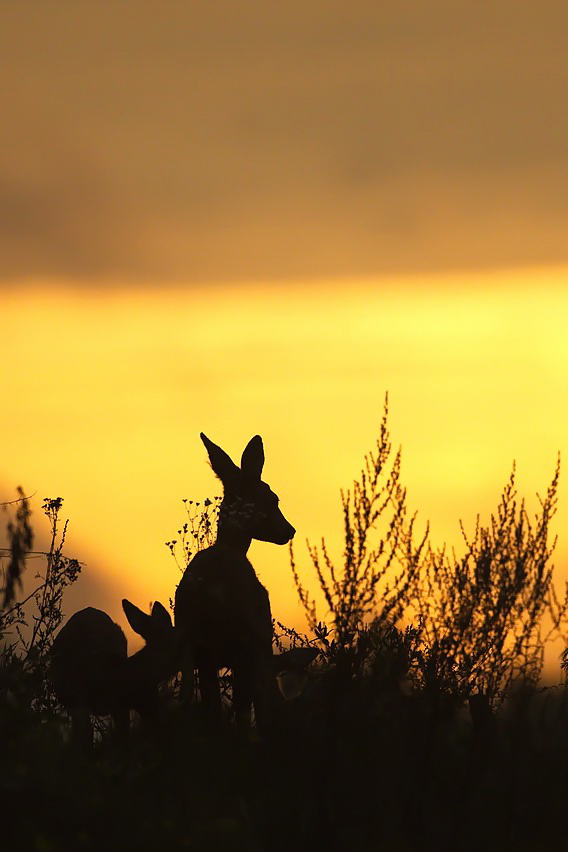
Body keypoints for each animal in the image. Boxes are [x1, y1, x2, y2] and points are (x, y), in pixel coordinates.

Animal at [176, 436, 302, 728]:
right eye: (272, 498)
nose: (289, 530)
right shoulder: (256, 642)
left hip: (193, 645)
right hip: (247, 644)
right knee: (255, 703)